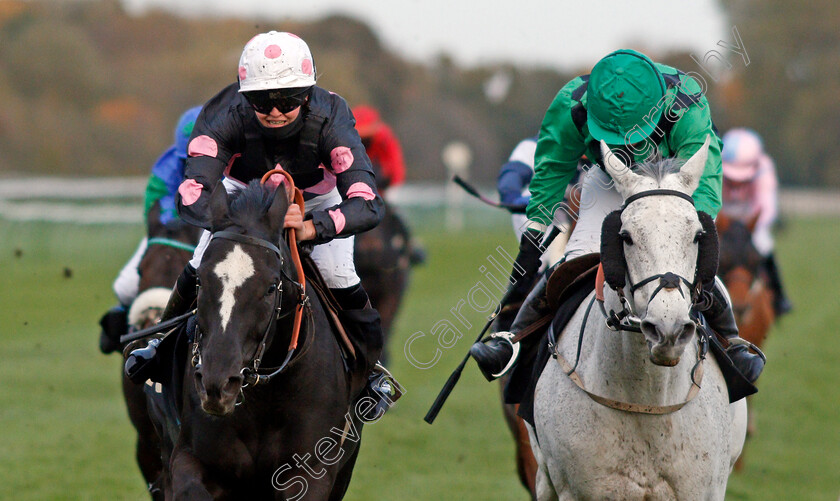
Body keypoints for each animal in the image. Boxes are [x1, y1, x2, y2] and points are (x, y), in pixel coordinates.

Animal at [157, 182, 368, 498]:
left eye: (271, 287)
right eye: (200, 282)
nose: (217, 384)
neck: (266, 393)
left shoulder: (312, 472)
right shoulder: (190, 457)